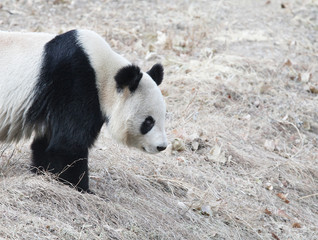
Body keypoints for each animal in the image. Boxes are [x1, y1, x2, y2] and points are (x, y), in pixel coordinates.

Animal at [0, 28, 168, 193]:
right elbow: (68, 144)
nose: (162, 146)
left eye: (163, 118)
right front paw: (81, 187)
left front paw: (43, 174)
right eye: (148, 122)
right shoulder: (75, 84)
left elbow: (46, 143)